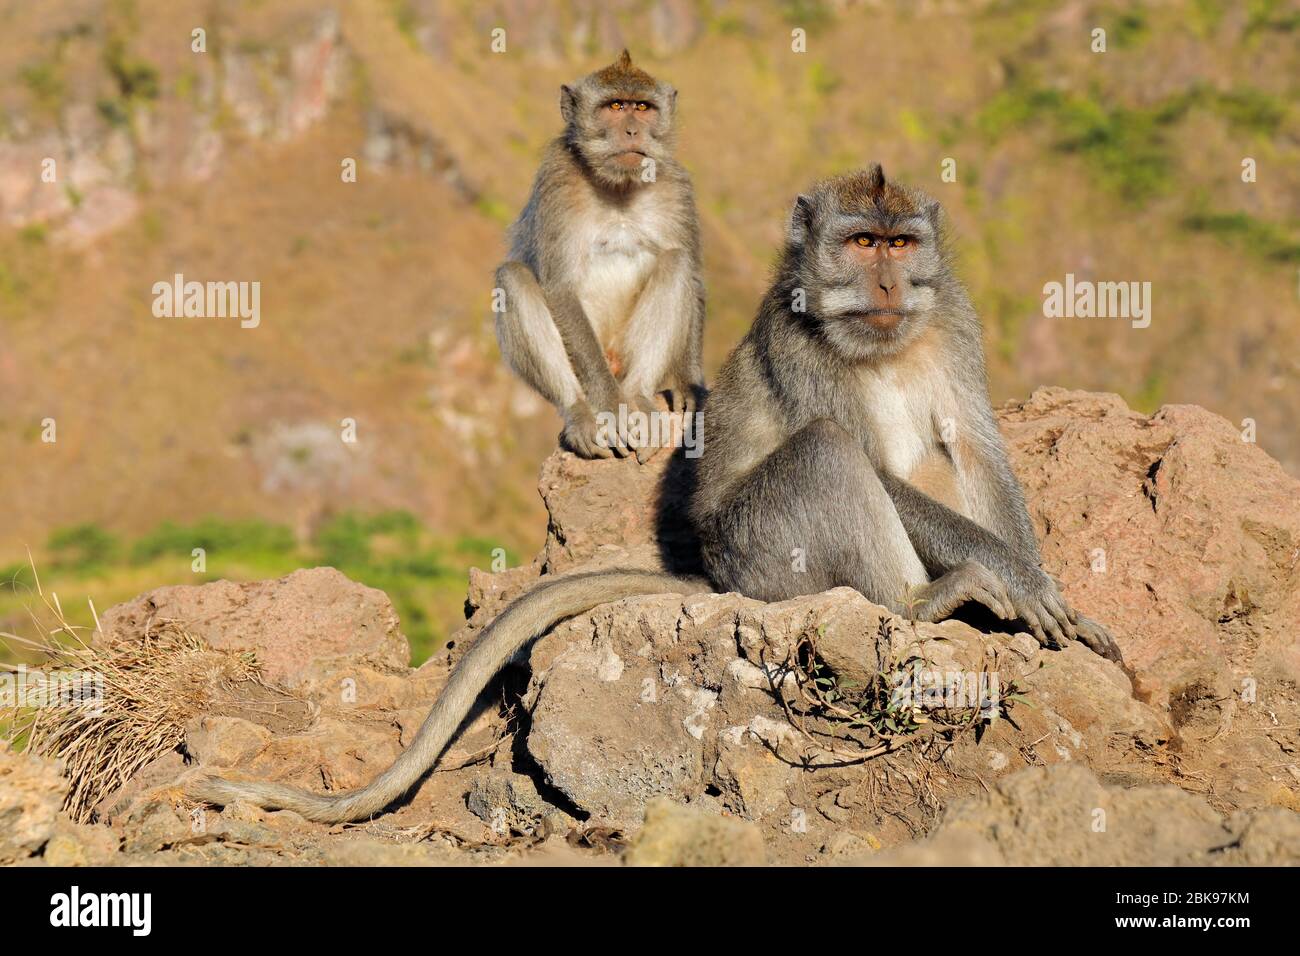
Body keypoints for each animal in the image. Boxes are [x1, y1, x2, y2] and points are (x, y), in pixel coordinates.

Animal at [188, 166, 1123, 822]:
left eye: (901, 245)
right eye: (861, 244)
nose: (889, 285)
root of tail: (713, 577)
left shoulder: (953, 318)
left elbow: (978, 445)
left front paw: (1045, 589)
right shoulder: (802, 345)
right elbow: (865, 459)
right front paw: (1025, 585)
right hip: (764, 556)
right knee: (825, 453)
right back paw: (923, 599)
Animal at [491, 50, 707, 463]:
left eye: (642, 107)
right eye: (615, 107)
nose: (632, 132)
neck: (618, 186)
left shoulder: (676, 185)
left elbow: (692, 272)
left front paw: (689, 382)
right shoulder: (558, 180)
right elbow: (560, 290)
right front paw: (613, 410)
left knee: (676, 261)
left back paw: (638, 396)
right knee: (512, 278)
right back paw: (581, 414)